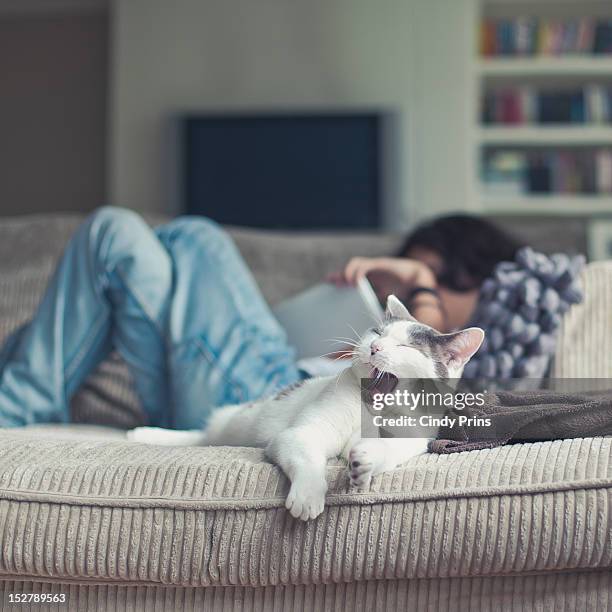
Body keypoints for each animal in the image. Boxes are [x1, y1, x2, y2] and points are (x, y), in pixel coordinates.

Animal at [129, 296, 482, 520]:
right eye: (377, 332)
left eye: (407, 346)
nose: (374, 347)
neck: (376, 409)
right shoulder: (301, 434)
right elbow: (309, 459)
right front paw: (309, 495)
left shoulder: (412, 438)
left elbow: (386, 451)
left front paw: (365, 461)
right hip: (231, 425)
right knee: (200, 436)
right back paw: (149, 434)